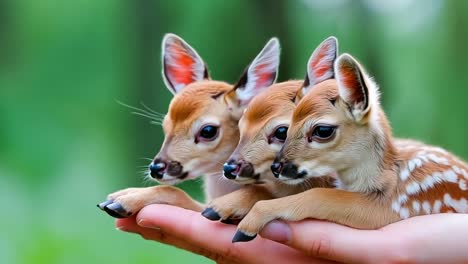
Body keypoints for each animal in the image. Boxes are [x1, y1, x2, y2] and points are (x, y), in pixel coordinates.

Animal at [234, 51, 468, 241]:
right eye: (287, 128)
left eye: (322, 130)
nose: (277, 167)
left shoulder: (395, 207)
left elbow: (320, 195)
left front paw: (248, 225)